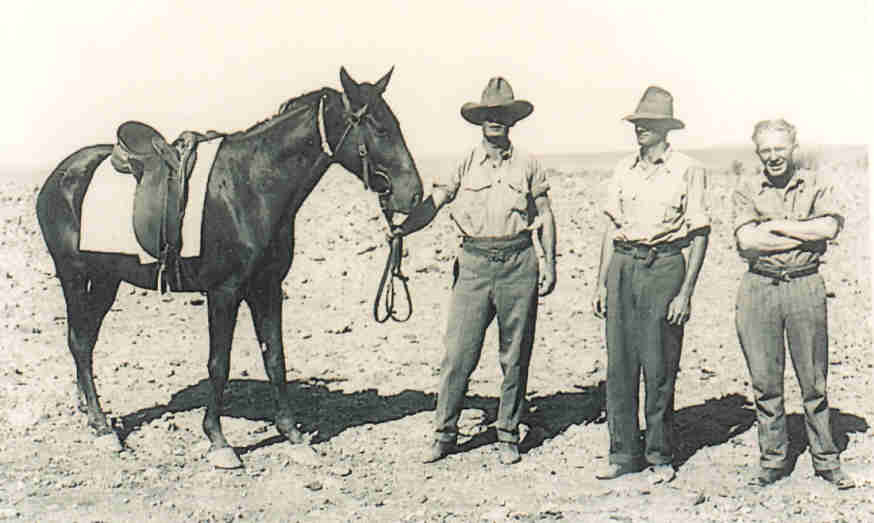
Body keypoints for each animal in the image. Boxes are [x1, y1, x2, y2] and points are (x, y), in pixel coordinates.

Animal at [36, 67, 423, 469]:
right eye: (380, 128)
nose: (413, 194)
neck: (251, 186)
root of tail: (60, 175)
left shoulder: (267, 288)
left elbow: (276, 359)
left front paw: (293, 435)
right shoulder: (224, 292)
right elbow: (218, 364)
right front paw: (219, 442)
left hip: (106, 279)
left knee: (86, 341)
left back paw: (90, 413)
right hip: (73, 275)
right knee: (79, 342)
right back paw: (102, 427)